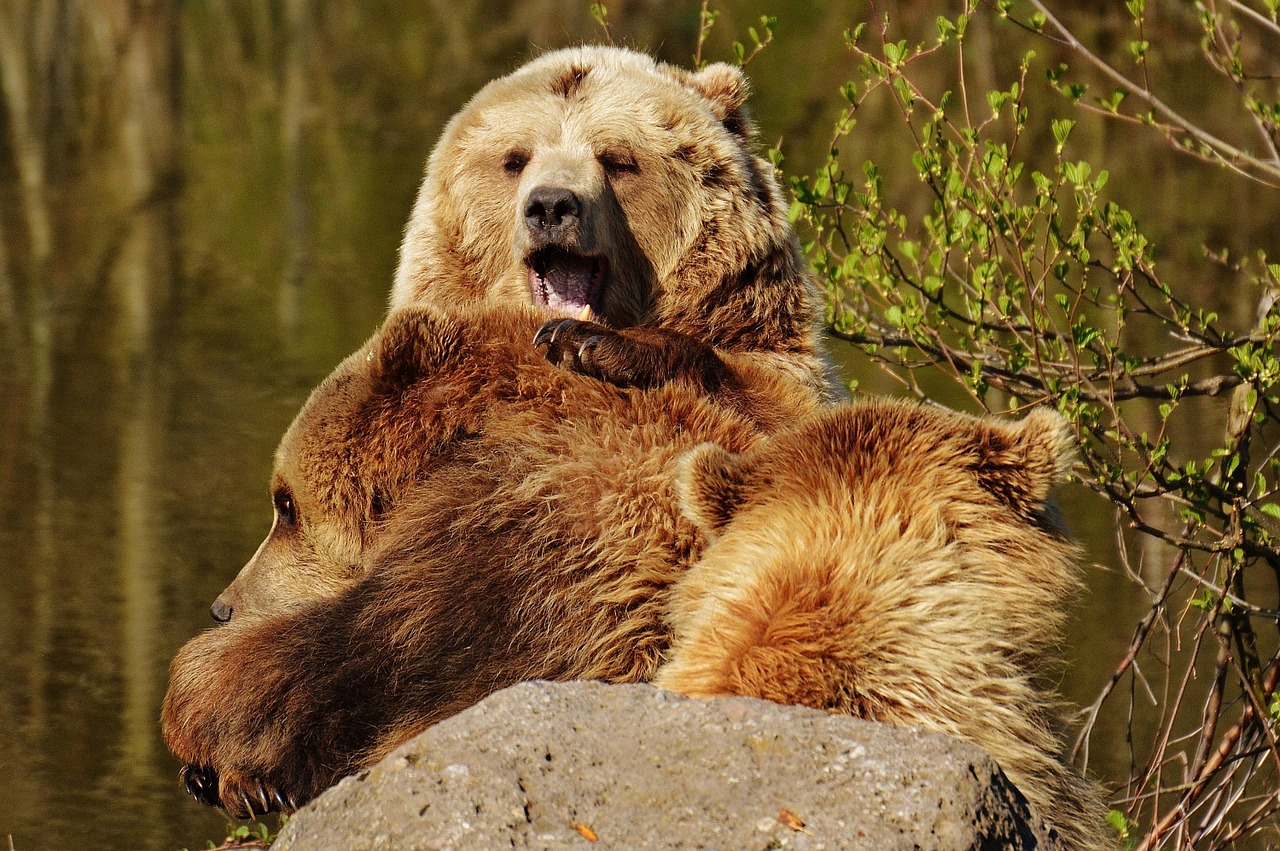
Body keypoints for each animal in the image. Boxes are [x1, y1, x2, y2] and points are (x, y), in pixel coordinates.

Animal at [389, 45, 834, 401]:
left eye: (618, 160)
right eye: (515, 160)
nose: (550, 206)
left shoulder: (757, 330)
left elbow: (777, 393)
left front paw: (583, 340)